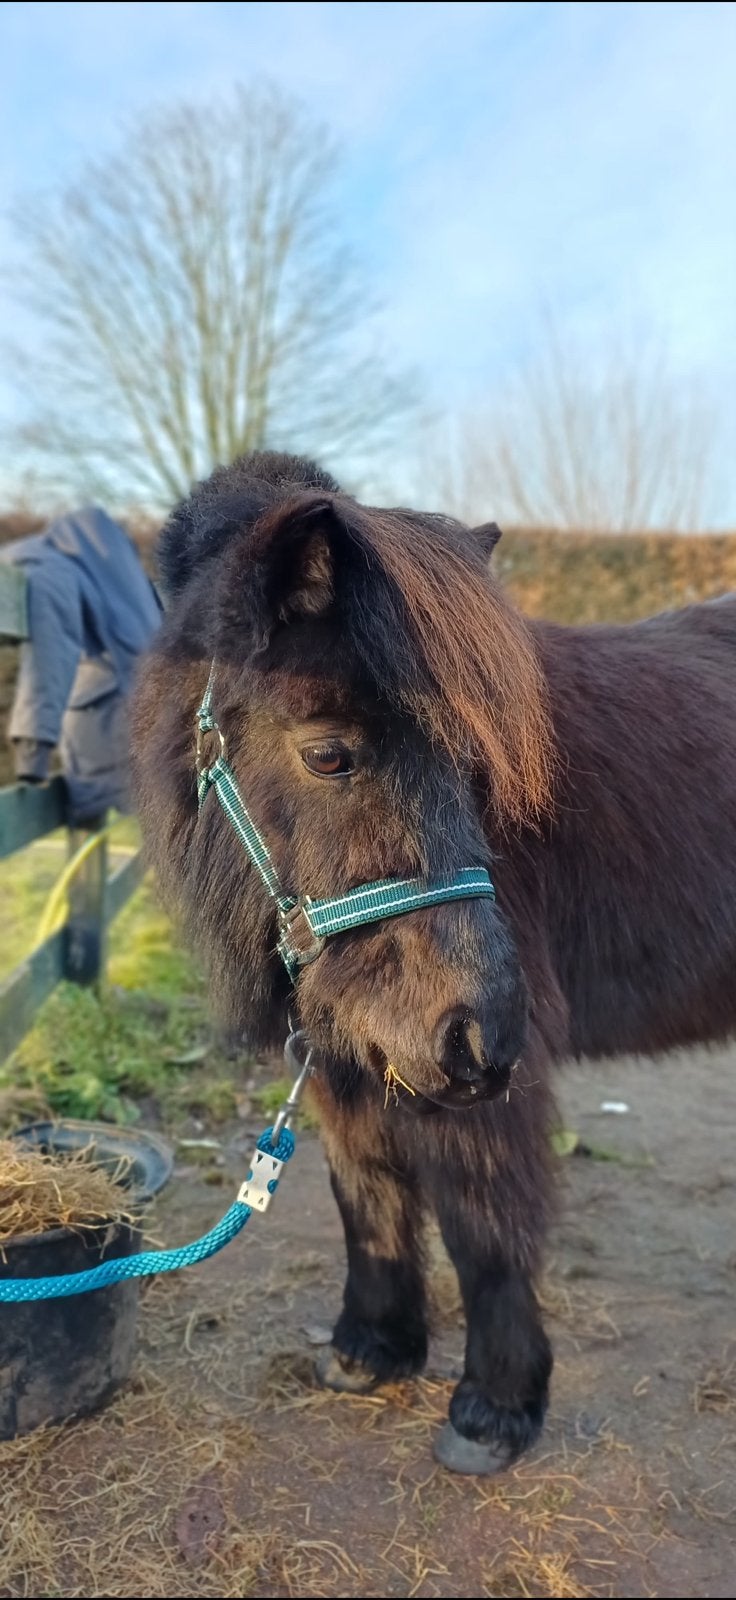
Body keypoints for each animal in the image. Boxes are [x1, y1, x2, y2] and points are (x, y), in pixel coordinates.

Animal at [132, 450, 736, 1476]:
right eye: (329, 753)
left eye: (478, 762)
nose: (480, 1033)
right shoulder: (345, 1056)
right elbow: (367, 1192)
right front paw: (369, 1351)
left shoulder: (488, 1091)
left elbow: (482, 1224)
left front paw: (493, 1410)